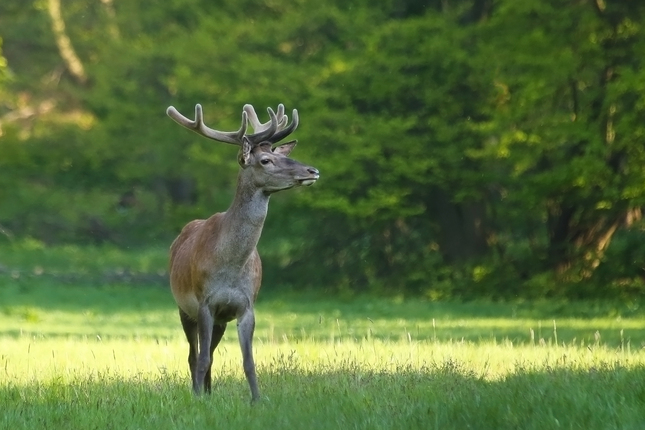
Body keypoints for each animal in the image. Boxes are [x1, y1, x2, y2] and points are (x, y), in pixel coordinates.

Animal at [165, 101, 318, 404]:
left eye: (278, 154)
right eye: (266, 160)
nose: (312, 171)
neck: (231, 264)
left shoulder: (246, 306)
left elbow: (248, 360)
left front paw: (257, 400)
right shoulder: (204, 303)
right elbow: (200, 358)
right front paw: (198, 399)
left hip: (221, 320)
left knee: (209, 354)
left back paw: (209, 391)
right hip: (183, 308)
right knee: (194, 355)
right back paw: (199, 392)